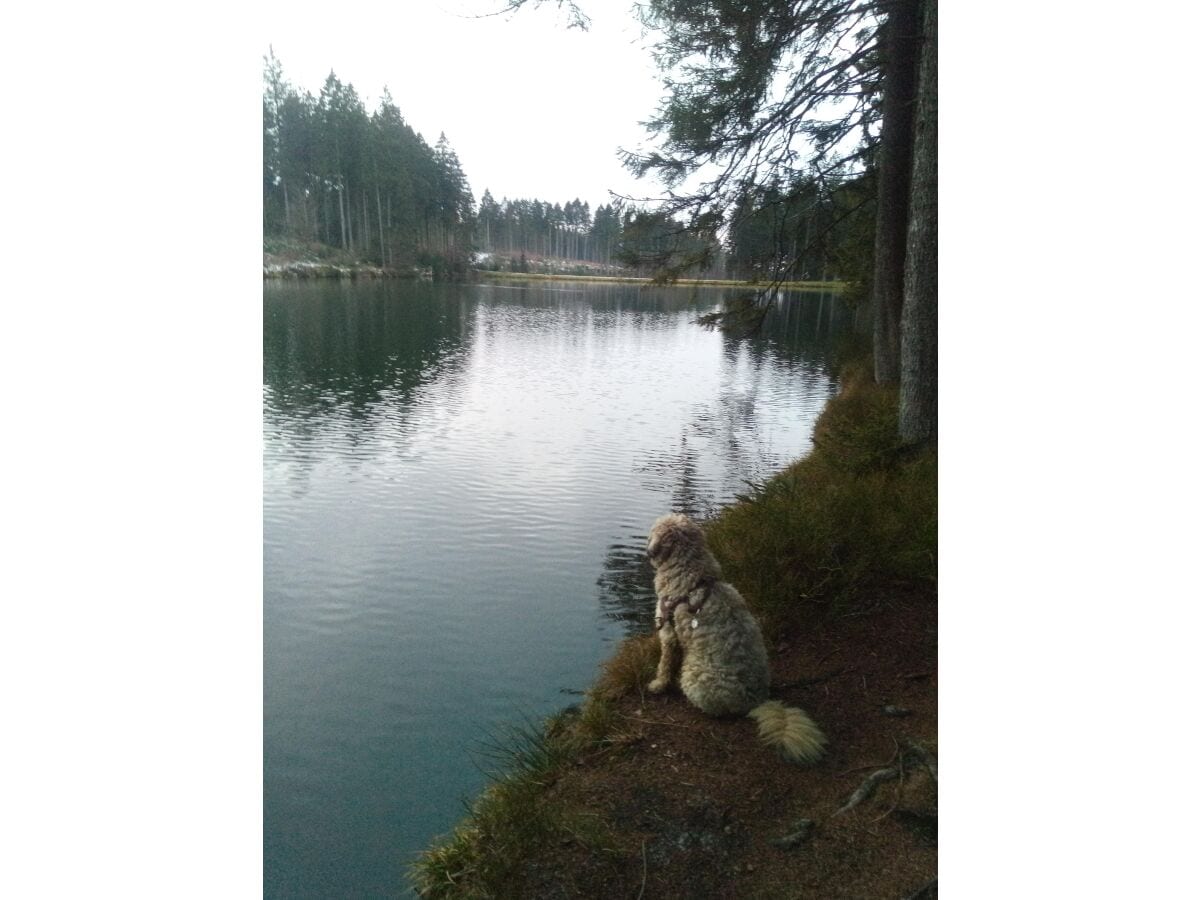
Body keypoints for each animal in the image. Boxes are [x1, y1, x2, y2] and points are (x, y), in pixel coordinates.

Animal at [648, 513, 825, 763]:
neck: (693, 578)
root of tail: (757, 700)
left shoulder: (668, 634)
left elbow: (664, 665)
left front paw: (658, 685)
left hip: (694, 676)